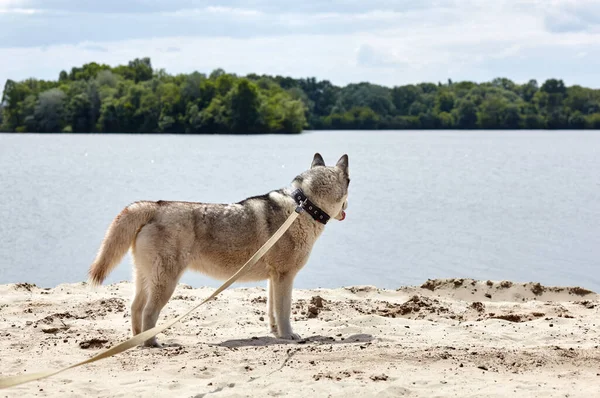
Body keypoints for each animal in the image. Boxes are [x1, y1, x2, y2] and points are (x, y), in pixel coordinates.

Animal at [89, 154, 352, 346]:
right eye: (349, 187)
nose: (347, 208)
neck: (303, 206)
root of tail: (154, 206)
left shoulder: (274, 279)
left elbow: (272, 313)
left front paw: (277, 334)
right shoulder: (285, 277)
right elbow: (284, 312)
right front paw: (289, 337)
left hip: (145, 278)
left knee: (135, 309)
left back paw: (137, 341)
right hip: (166, 283)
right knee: (148, 313)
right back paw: (152, 343)